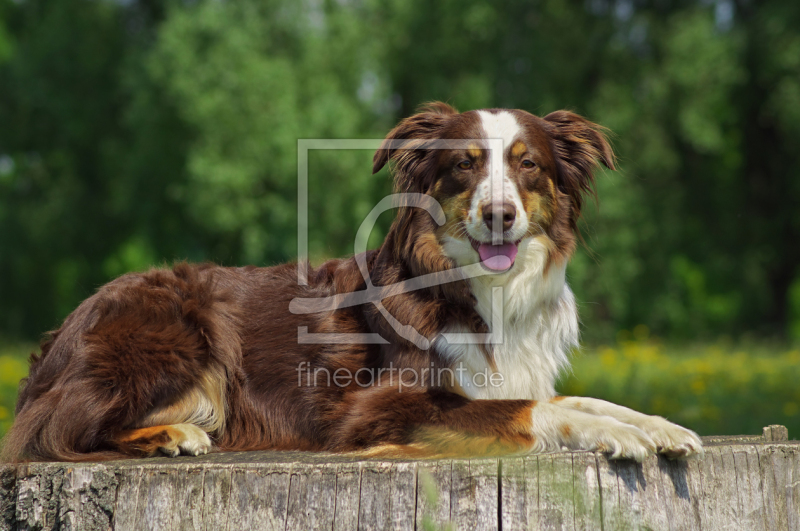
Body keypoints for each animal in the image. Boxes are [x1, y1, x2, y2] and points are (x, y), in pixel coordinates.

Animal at [0, 103, 704, 462]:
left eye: (527, 165)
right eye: (464, 165)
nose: (499, 215)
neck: (480, 292)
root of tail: (61, 336)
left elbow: (580, 399)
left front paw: (657, 426)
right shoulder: (374, 409)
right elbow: (529, 409)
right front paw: (623, 438)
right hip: (179, 332)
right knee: (55, 432)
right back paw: (173, 436)